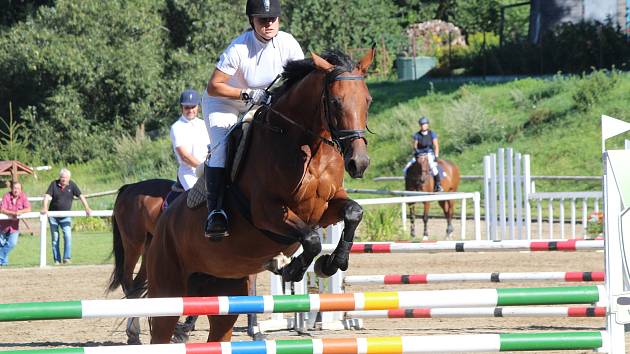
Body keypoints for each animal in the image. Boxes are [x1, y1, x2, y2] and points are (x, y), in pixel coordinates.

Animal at [108, 178, 262, 344]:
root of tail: (130, 187)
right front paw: (185, 328)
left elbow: (251, 290)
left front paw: (255, 330)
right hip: (134, 245)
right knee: (128, 285)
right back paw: (135, 333)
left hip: (150, 249)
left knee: (137, 287)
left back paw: (135, 333)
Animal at [145, 48, 376, 344]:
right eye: (335, 102)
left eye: (367, 100)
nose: (359, 163)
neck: (306, 146)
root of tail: (163, 222)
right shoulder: (268, 212)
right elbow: (312, 240)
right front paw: (291, 269)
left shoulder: (324, 208)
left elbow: (353, 212)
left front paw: (331, 263)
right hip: (168, 295)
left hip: (224, 294)